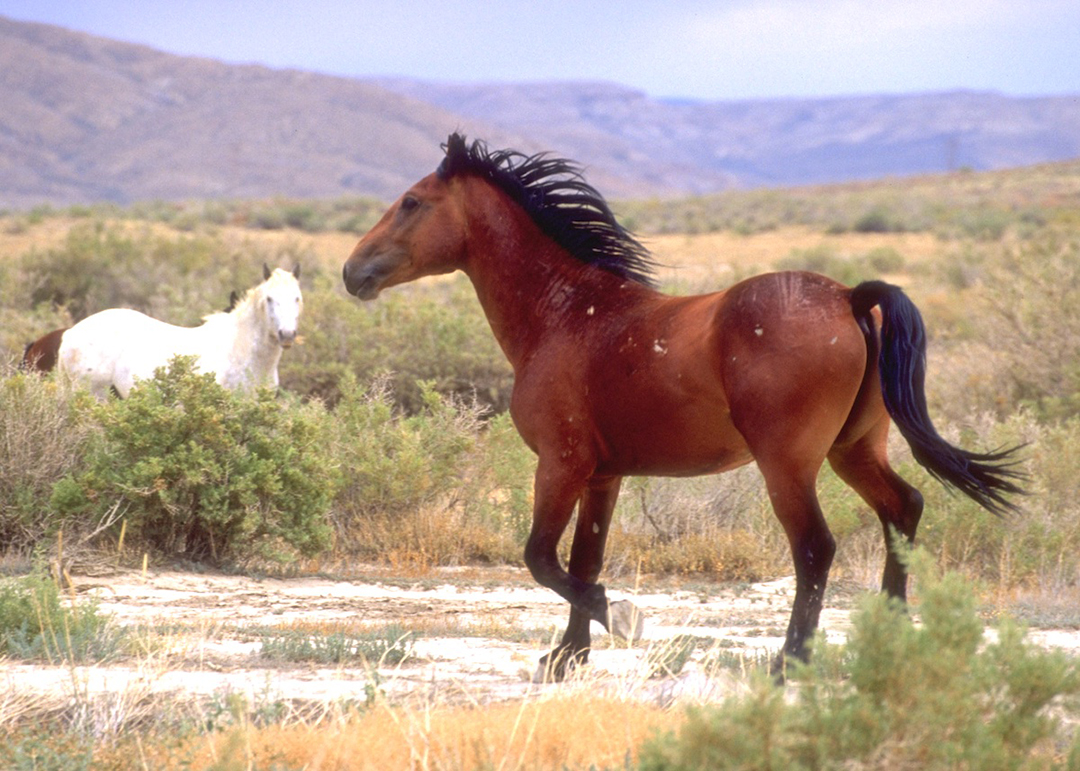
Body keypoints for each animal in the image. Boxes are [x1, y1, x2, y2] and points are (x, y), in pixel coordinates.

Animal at [343, 133, 1024, 682]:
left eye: (411, 201)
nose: (352, 272)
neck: (567, 315)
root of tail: (849, 297)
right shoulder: (602, 476)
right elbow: (582, 558)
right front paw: (567, 658)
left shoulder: (560, 465)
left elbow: (542, 558)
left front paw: (620, 618)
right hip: (853, 451)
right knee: (902, 510)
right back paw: (889, 642)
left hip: (789, 466)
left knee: (816, 549)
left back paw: (789, 662)